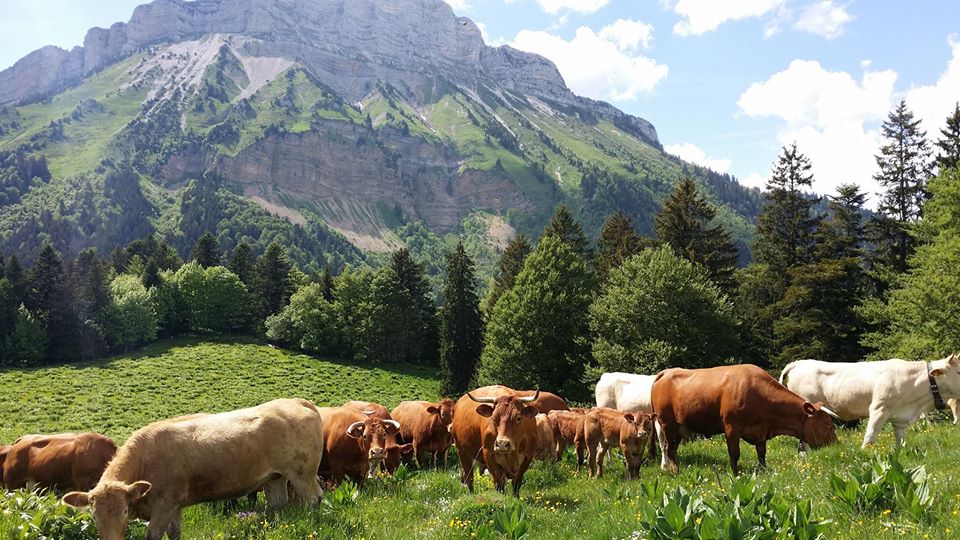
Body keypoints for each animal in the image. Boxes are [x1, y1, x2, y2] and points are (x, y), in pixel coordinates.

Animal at [64, 398, 326, 540]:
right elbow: (175, 533)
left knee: (313, 500)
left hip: (303, 475)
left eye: (125, 512)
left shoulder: (165, 506)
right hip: (275, 477)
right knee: (277, 503)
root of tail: (296, 402)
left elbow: (154, 534)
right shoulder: (174, 507)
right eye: (94, 516)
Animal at [648, 364, 836, 474]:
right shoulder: (732, 427)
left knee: (672, 448)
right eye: (828, 424)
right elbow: (734, 454)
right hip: (667, 423)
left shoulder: (761, 431)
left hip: (680, 426)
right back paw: (675, 471)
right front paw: (736, 475)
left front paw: (763, 471)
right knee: (669, 448)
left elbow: (761, 453)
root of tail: (667, 372)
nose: (835, 444)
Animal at [776, 356, 960, 450]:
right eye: (959, 371)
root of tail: (799, 363)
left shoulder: (900, 418)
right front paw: (864, 455)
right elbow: (870, 437)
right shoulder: (878, 409)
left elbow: (900, 441)